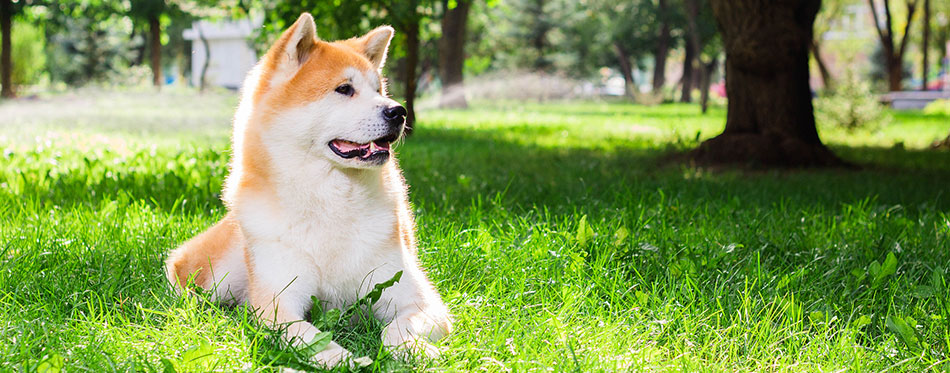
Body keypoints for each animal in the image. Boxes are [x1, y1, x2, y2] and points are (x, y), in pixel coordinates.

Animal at [166, 12, 454, 366]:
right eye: (344, 89)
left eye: (379, 90)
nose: (398, 111)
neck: (330, 202)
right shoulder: (278, 304)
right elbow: (313, 338)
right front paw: (347, 360)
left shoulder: (417, 299)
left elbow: (398, 328)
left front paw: (413, 349)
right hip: (219, 273)